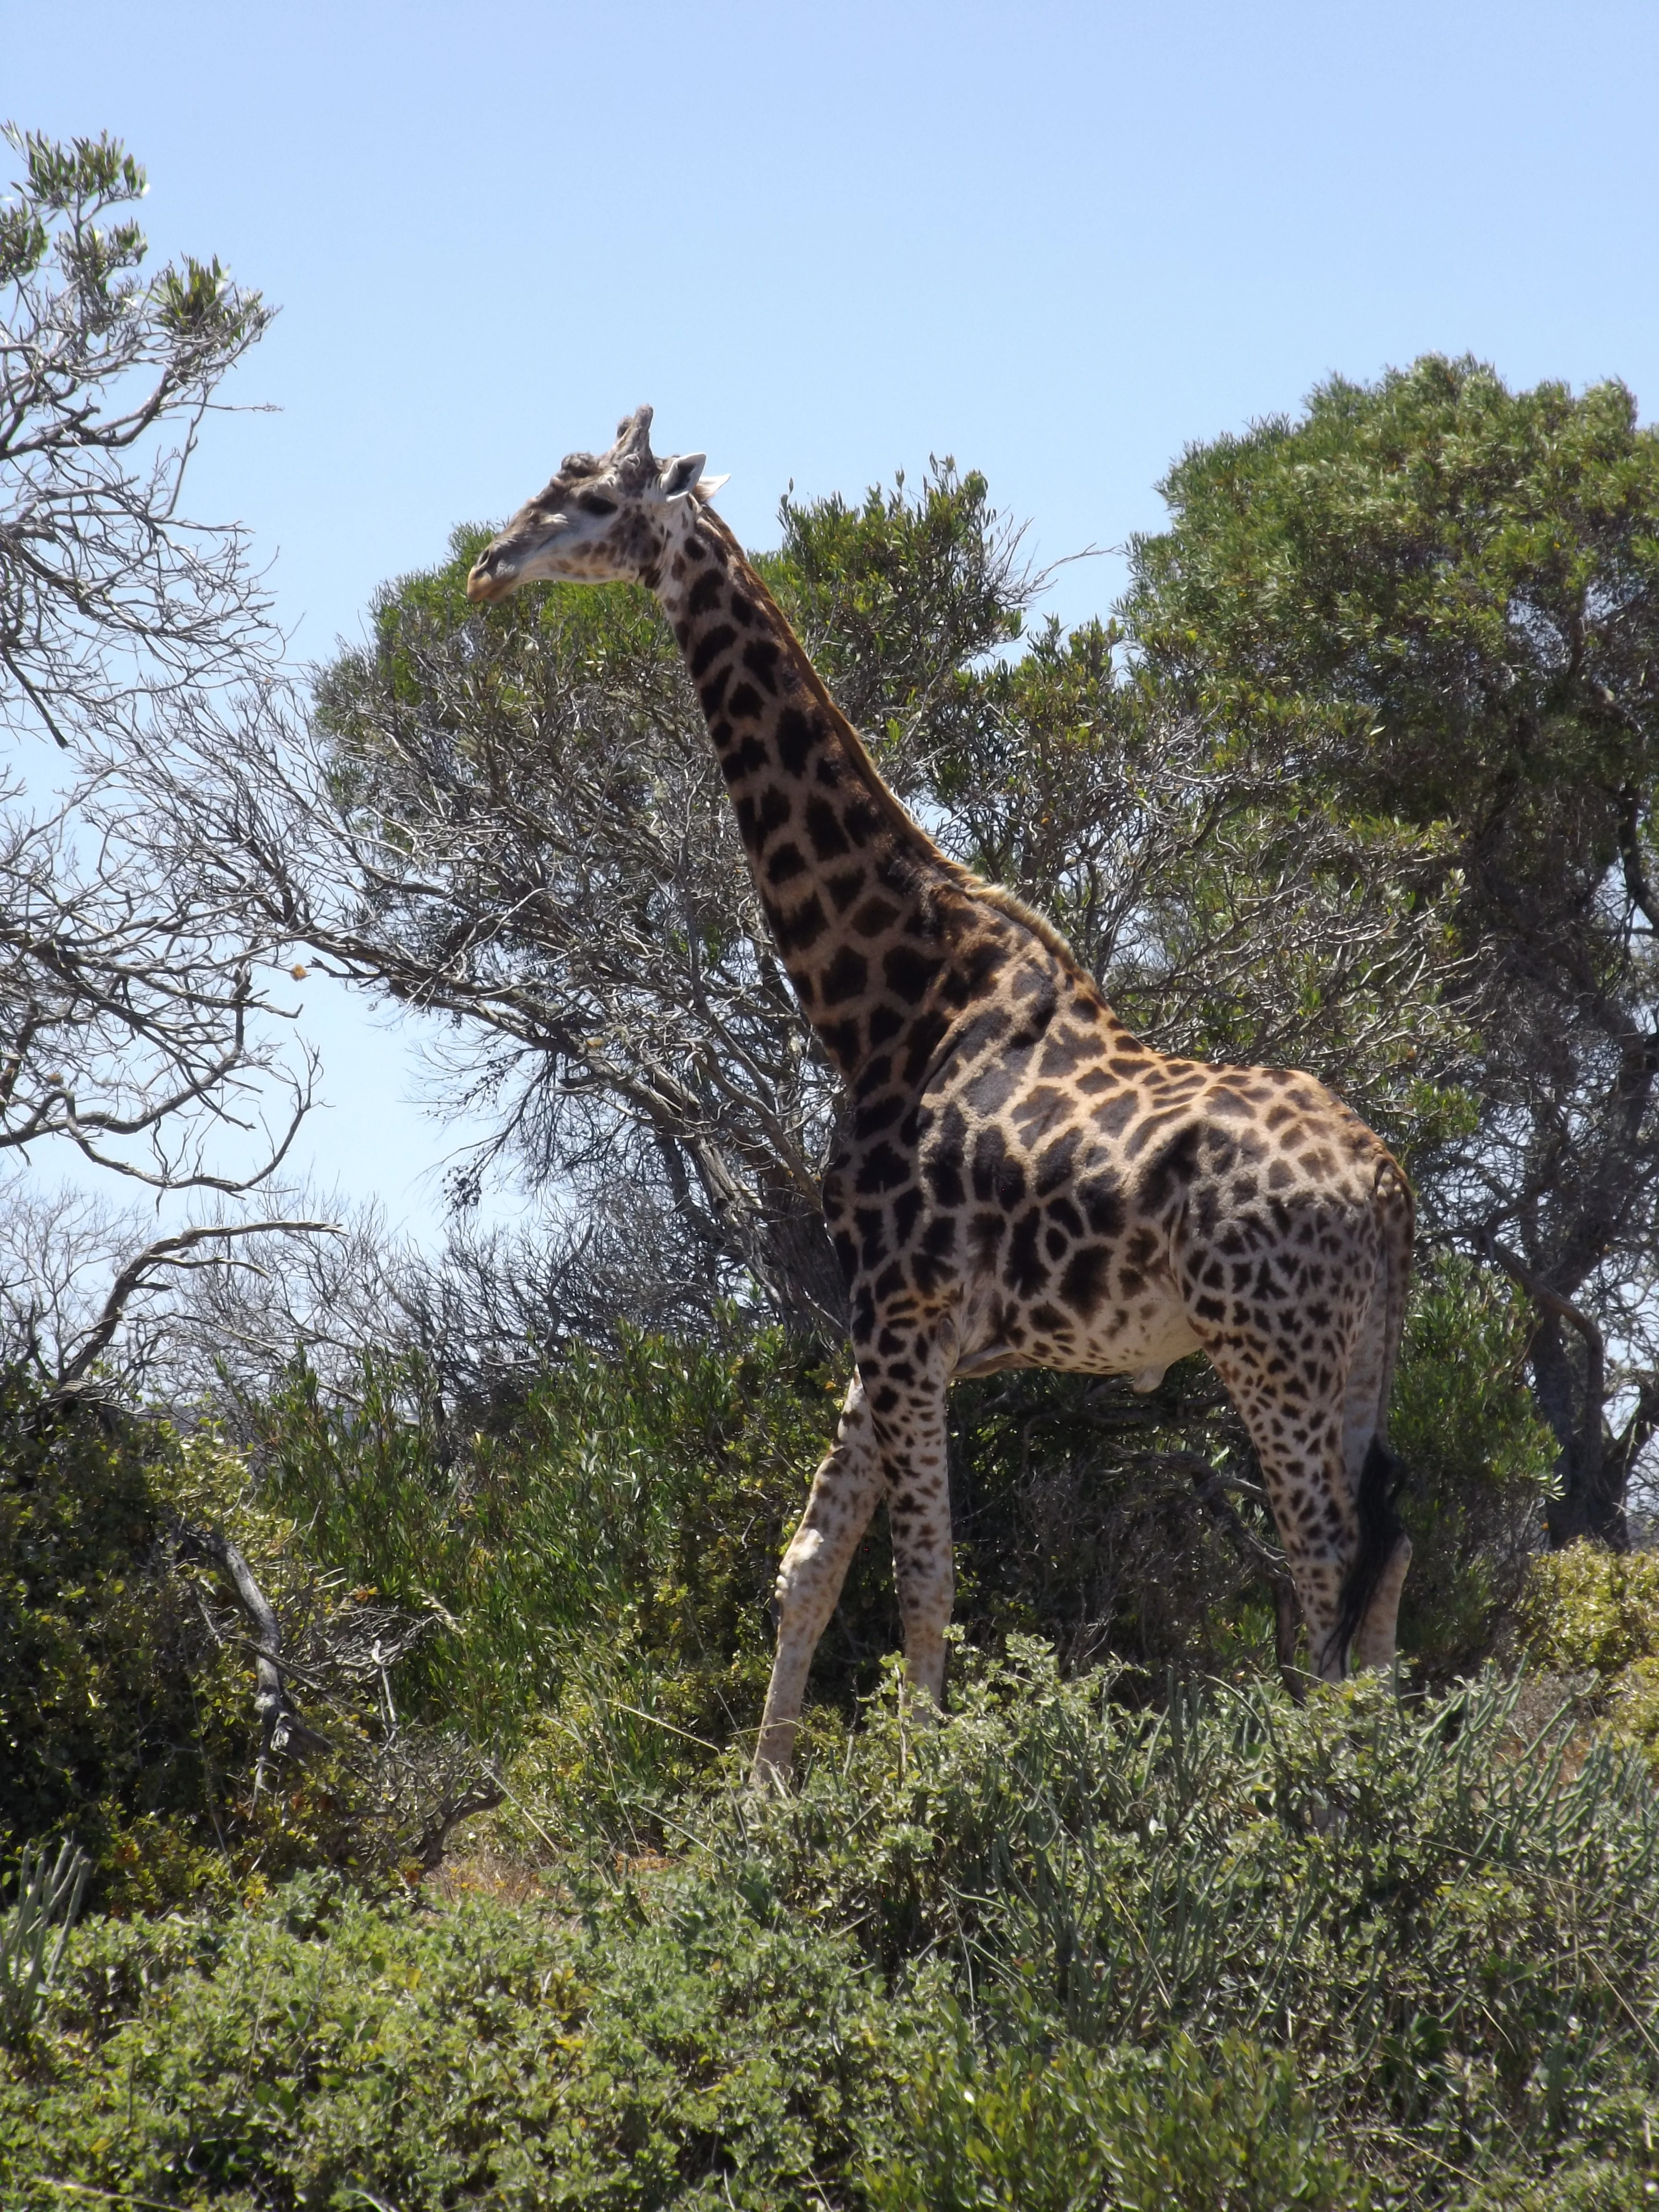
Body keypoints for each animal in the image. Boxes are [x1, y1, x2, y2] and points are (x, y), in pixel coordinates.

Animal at [466, 408, 1415, 1784]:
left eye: (587, 499)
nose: (486, 567)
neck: (881, 1002)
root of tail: (1390, 1185)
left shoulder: (905, 1312)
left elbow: (924, 1578)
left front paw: (921, 1794)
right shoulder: (890, 1324)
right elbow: (811, 1562)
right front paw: (766, 1797)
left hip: (1267, 1348)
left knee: (1327, 1558)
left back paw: (1332, 1784)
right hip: (1358, 1355)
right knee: (1385, 1560)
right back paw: (1395, 1773)